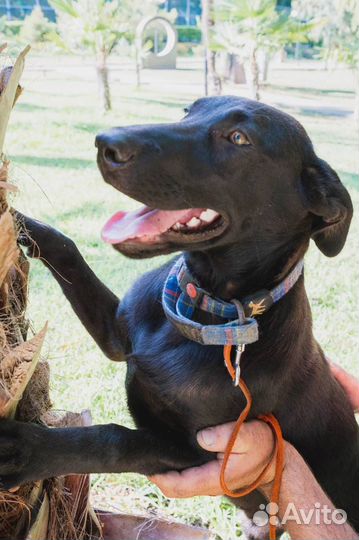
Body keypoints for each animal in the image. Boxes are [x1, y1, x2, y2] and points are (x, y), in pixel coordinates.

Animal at [1, 95, 358, 536]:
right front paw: (18, 219)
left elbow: (113, 440)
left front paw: (28, 451)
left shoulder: (199, 451)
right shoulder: (117, 333)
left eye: (239, 138)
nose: (105, 143)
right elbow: (66, 247)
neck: (202, 307)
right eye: (189, 111)